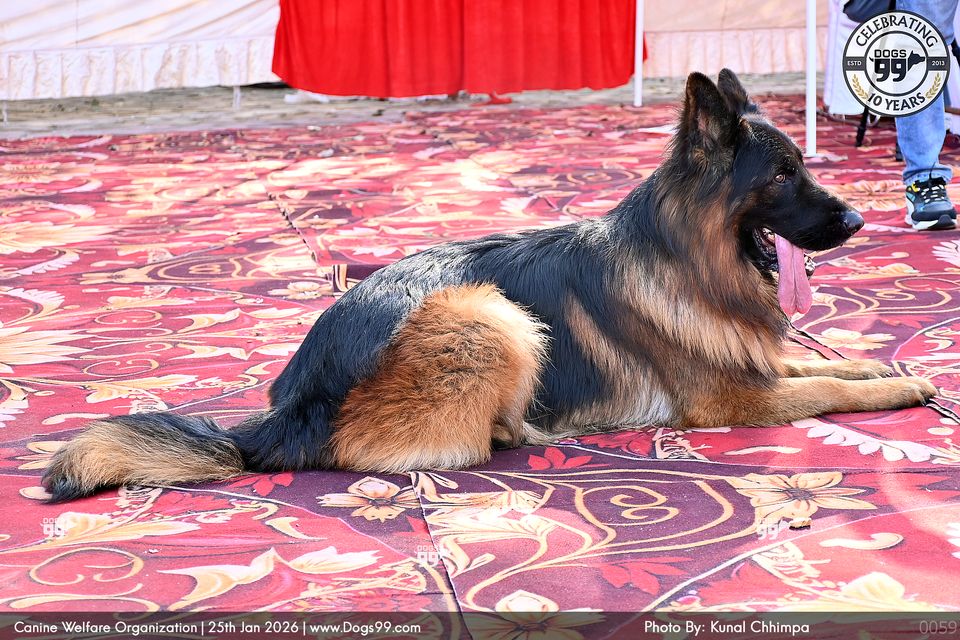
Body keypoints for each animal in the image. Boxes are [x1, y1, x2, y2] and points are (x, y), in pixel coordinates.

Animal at [42, 70, 937, 502]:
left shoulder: (750, 359)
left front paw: (890, 365)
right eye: (783, 176)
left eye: (804, 165)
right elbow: (826, 392)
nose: (862, 218)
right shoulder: (734, 400)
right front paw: (898, 389)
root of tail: (290, 408)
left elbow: (828, 362)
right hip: (490, 312)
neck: (686, 257)